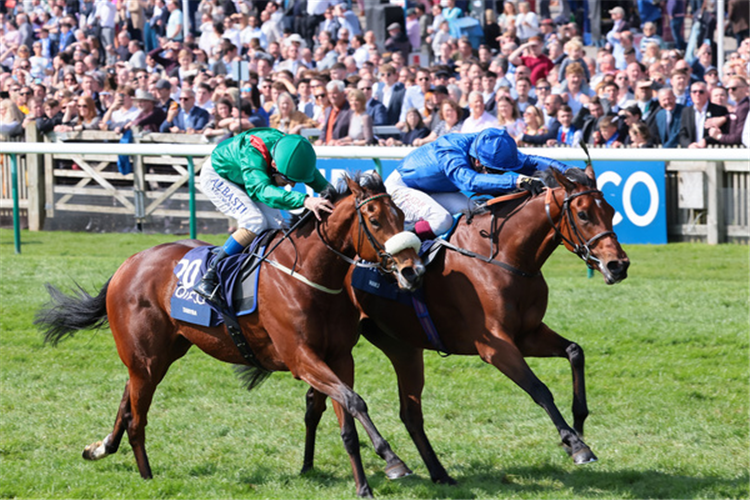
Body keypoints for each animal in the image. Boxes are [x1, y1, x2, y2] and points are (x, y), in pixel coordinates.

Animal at [35, 174, 426, 498]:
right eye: (374, 220)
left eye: (402, 216)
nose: (412, 270)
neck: (308, 275)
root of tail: (127, 264)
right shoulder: (301, 358)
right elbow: (354, 401)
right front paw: (393, 460)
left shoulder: (339, 357)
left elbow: (348, 419)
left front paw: (363, 487)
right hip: (146, 357)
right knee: (136, 416)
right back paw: (146, 477)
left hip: (160, 354)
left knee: (127, 398)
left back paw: (100, 448)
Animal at [302, 167, 632, 484]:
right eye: (583, 214)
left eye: (611, 210)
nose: (618, 265)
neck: (503, 256)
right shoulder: (494, 346)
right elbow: (539, 388)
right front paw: (575, 445)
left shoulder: (527, 334)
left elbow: (575, 352)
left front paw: (578, 424)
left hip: (395, 345)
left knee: (397, 411)